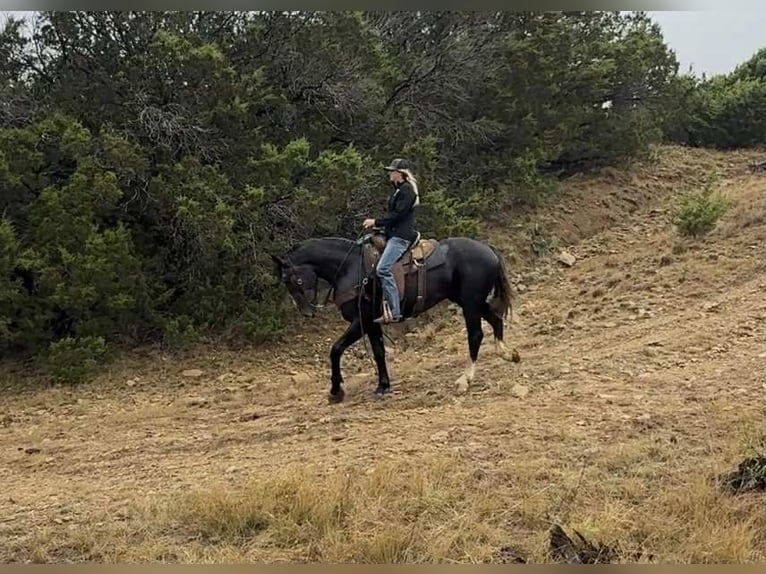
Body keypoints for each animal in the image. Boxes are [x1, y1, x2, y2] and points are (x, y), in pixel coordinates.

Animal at [270, 231, 520, 403]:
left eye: (293, 280)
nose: (307, 312)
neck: (351, 268)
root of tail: (487, 248)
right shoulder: (373, 324)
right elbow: (379, 352)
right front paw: (383, 385)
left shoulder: (361, 322)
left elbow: (336, 349)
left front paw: (336, 391)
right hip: (471, 301)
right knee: (496, 319)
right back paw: (508, 354)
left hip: (470, 303)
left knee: (475, 335)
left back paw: (465, 379)